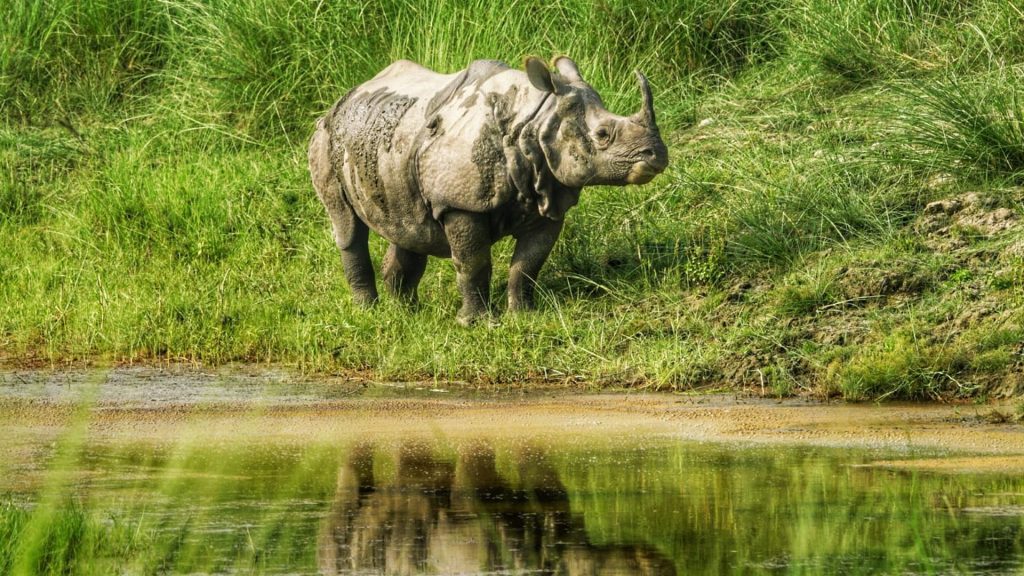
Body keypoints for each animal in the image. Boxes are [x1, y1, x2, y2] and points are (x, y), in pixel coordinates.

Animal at [309, 56, 668, 325]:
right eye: (603, 134)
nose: (657, 154)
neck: (535, 122)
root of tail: (344, 98)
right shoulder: (461, 203)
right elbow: (474, 262)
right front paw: (478, 323)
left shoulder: (549, 197)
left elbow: (528, 264)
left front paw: (524, 316)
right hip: (325, 138)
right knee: (348, 227)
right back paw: (368, 313)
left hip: (394, 147)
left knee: (410, 227)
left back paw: (408, 314)